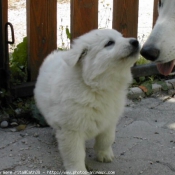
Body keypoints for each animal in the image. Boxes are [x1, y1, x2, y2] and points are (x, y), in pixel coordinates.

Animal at [34, 28, 139, 174]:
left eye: (121, 37)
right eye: (109, 43)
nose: (135, 42)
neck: (96, 87)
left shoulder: (109, 120)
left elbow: (107, 139)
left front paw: (104, 155)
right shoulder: (72, 129)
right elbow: (75, 154)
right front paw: (78, 170)